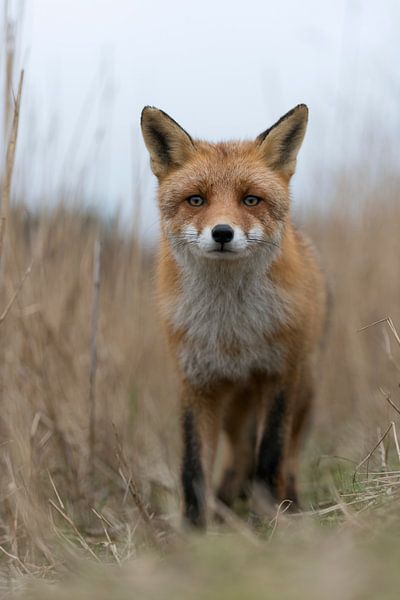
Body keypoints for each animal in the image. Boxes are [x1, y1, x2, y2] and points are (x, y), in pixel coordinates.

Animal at [142, 105, 326, 528]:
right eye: (196, 200)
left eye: (250, 199)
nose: (222, 233)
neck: (232, 331)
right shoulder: (196, 383)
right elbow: (193, 468)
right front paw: (195, 531)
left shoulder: (278, 376)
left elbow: (270, 457)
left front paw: (268, 522)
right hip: (233, 406)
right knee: (238, 454)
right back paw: (227, 505)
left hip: (303, 389)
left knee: (288, 457)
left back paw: (290, 505)